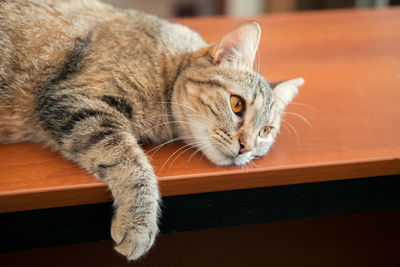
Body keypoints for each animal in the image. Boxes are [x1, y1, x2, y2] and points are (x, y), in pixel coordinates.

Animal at [0, 0, 304, 260]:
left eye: (265, 131)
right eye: (237, 104)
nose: (246, 148)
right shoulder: (76, 100)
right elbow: (130, 161)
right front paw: (139, 222)